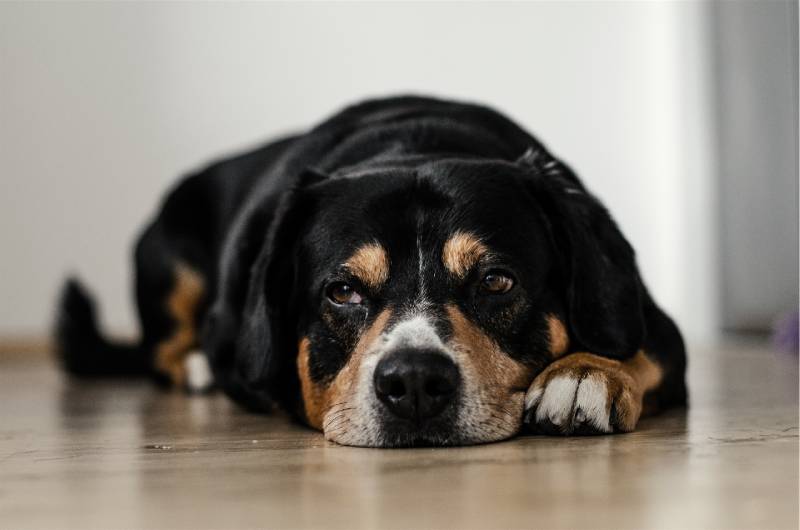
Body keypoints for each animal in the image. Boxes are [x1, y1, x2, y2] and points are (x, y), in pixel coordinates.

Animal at [54, 96, 688, 446]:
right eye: (342, 291)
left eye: (496, 282)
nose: (414, 383)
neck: (414, 145)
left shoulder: (654, 321)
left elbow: (640, 348)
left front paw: (582, 374)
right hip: (169, 259)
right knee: (160, 348)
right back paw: (196, 366)